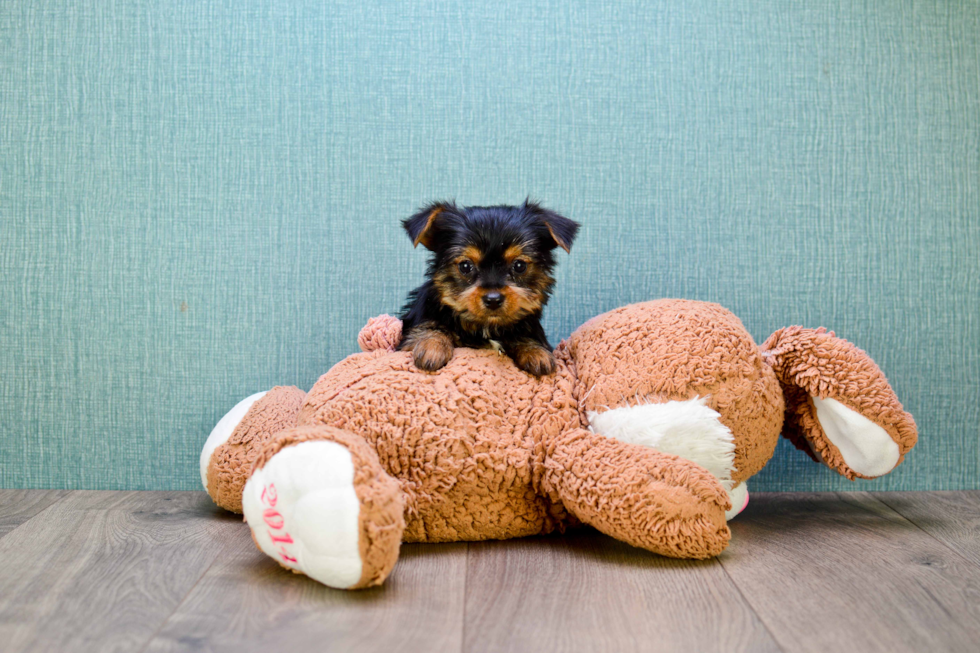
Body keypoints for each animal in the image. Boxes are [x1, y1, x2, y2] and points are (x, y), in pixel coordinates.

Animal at [398, 201, 580, 376]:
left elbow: (527, 337)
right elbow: (431, 327)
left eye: (519, 266)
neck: (487, 327)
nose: (493, 299)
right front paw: (432, 346)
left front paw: (536, 352)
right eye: (465, 266)